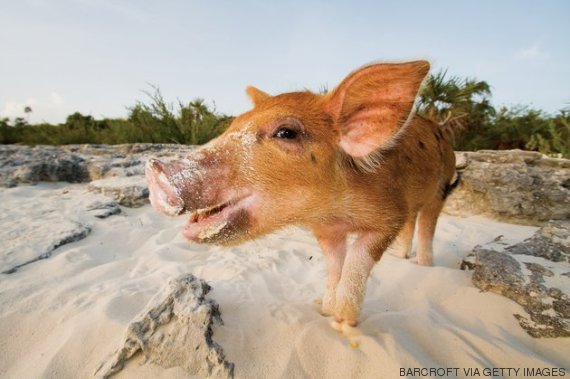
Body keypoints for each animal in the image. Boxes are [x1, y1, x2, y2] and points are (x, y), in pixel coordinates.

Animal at [145, 60, 458, 328]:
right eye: (233, 126)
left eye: (286, 132)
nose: (155, 169)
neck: (336, 213)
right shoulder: (326, 230)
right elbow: (334, 266)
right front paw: (326, 309)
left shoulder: (390, 214)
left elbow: (357, 262)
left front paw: (345, 322)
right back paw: (403, 258)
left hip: (441, 188)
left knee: (426, 224)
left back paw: (424, 264)